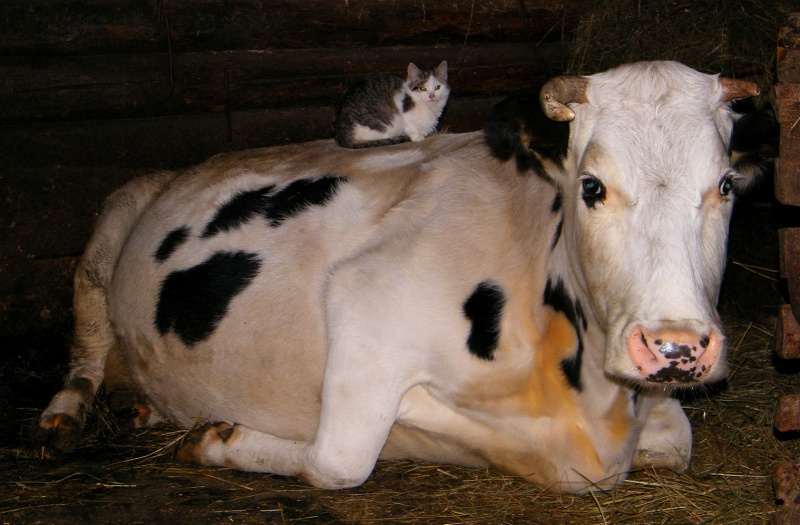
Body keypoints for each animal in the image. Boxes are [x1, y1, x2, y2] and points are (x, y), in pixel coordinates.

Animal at [34, 61, 763, 493]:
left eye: (724, 186)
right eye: (592, 186)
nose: (676, 346)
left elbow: (674, 444)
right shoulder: (365, 297)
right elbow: (340, 459)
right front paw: (220, 439)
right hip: (111, 225)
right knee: (86, 347)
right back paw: (66, 415)